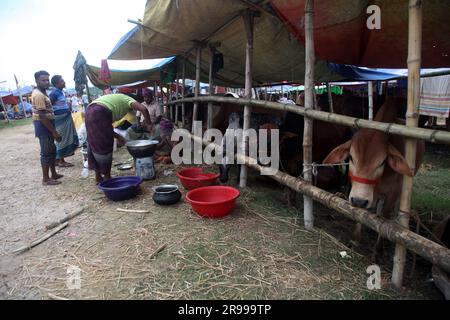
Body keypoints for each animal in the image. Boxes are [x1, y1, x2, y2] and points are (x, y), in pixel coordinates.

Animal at [324, 97, 426, 260]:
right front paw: (355, 239)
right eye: (351, 157)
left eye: (382, 162)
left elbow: (385, 217)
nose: (359, 200)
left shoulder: (393, 193)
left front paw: (378, 249)